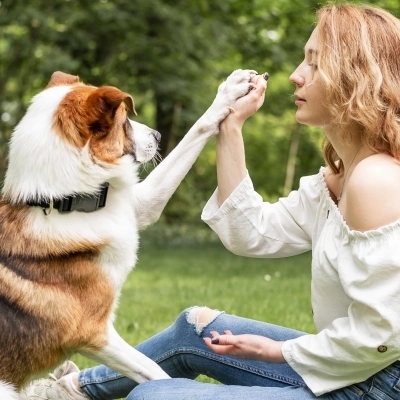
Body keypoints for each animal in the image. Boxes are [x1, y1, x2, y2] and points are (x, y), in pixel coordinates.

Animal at [0, 70, 256, 398]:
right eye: (124, 121)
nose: (158, 135)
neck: (62, 202)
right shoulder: (95, 334)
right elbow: (156, 373)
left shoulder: (140, 204)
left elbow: (196, 131)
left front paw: (230, 92)